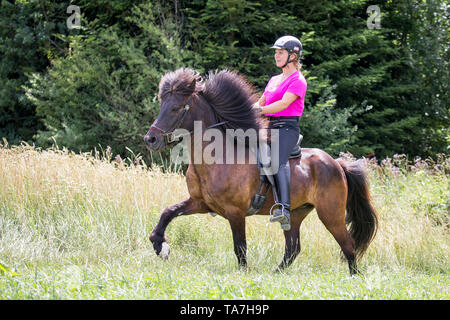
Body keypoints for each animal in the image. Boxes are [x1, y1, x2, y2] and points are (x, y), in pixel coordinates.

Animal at [144, 67, 376, 276]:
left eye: (176, 108)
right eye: (162, 104)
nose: (151, 139)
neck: (217, 157)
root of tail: (336, 164)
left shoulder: (235, 212)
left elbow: (240, 247)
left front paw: (243, 273)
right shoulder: (199, 202)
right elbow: (168, 212)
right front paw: (160, 246)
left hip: (331, 214)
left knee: (347, 244)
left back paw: (354, 276)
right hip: (296, 213)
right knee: (293, 248)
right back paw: (276, 274)